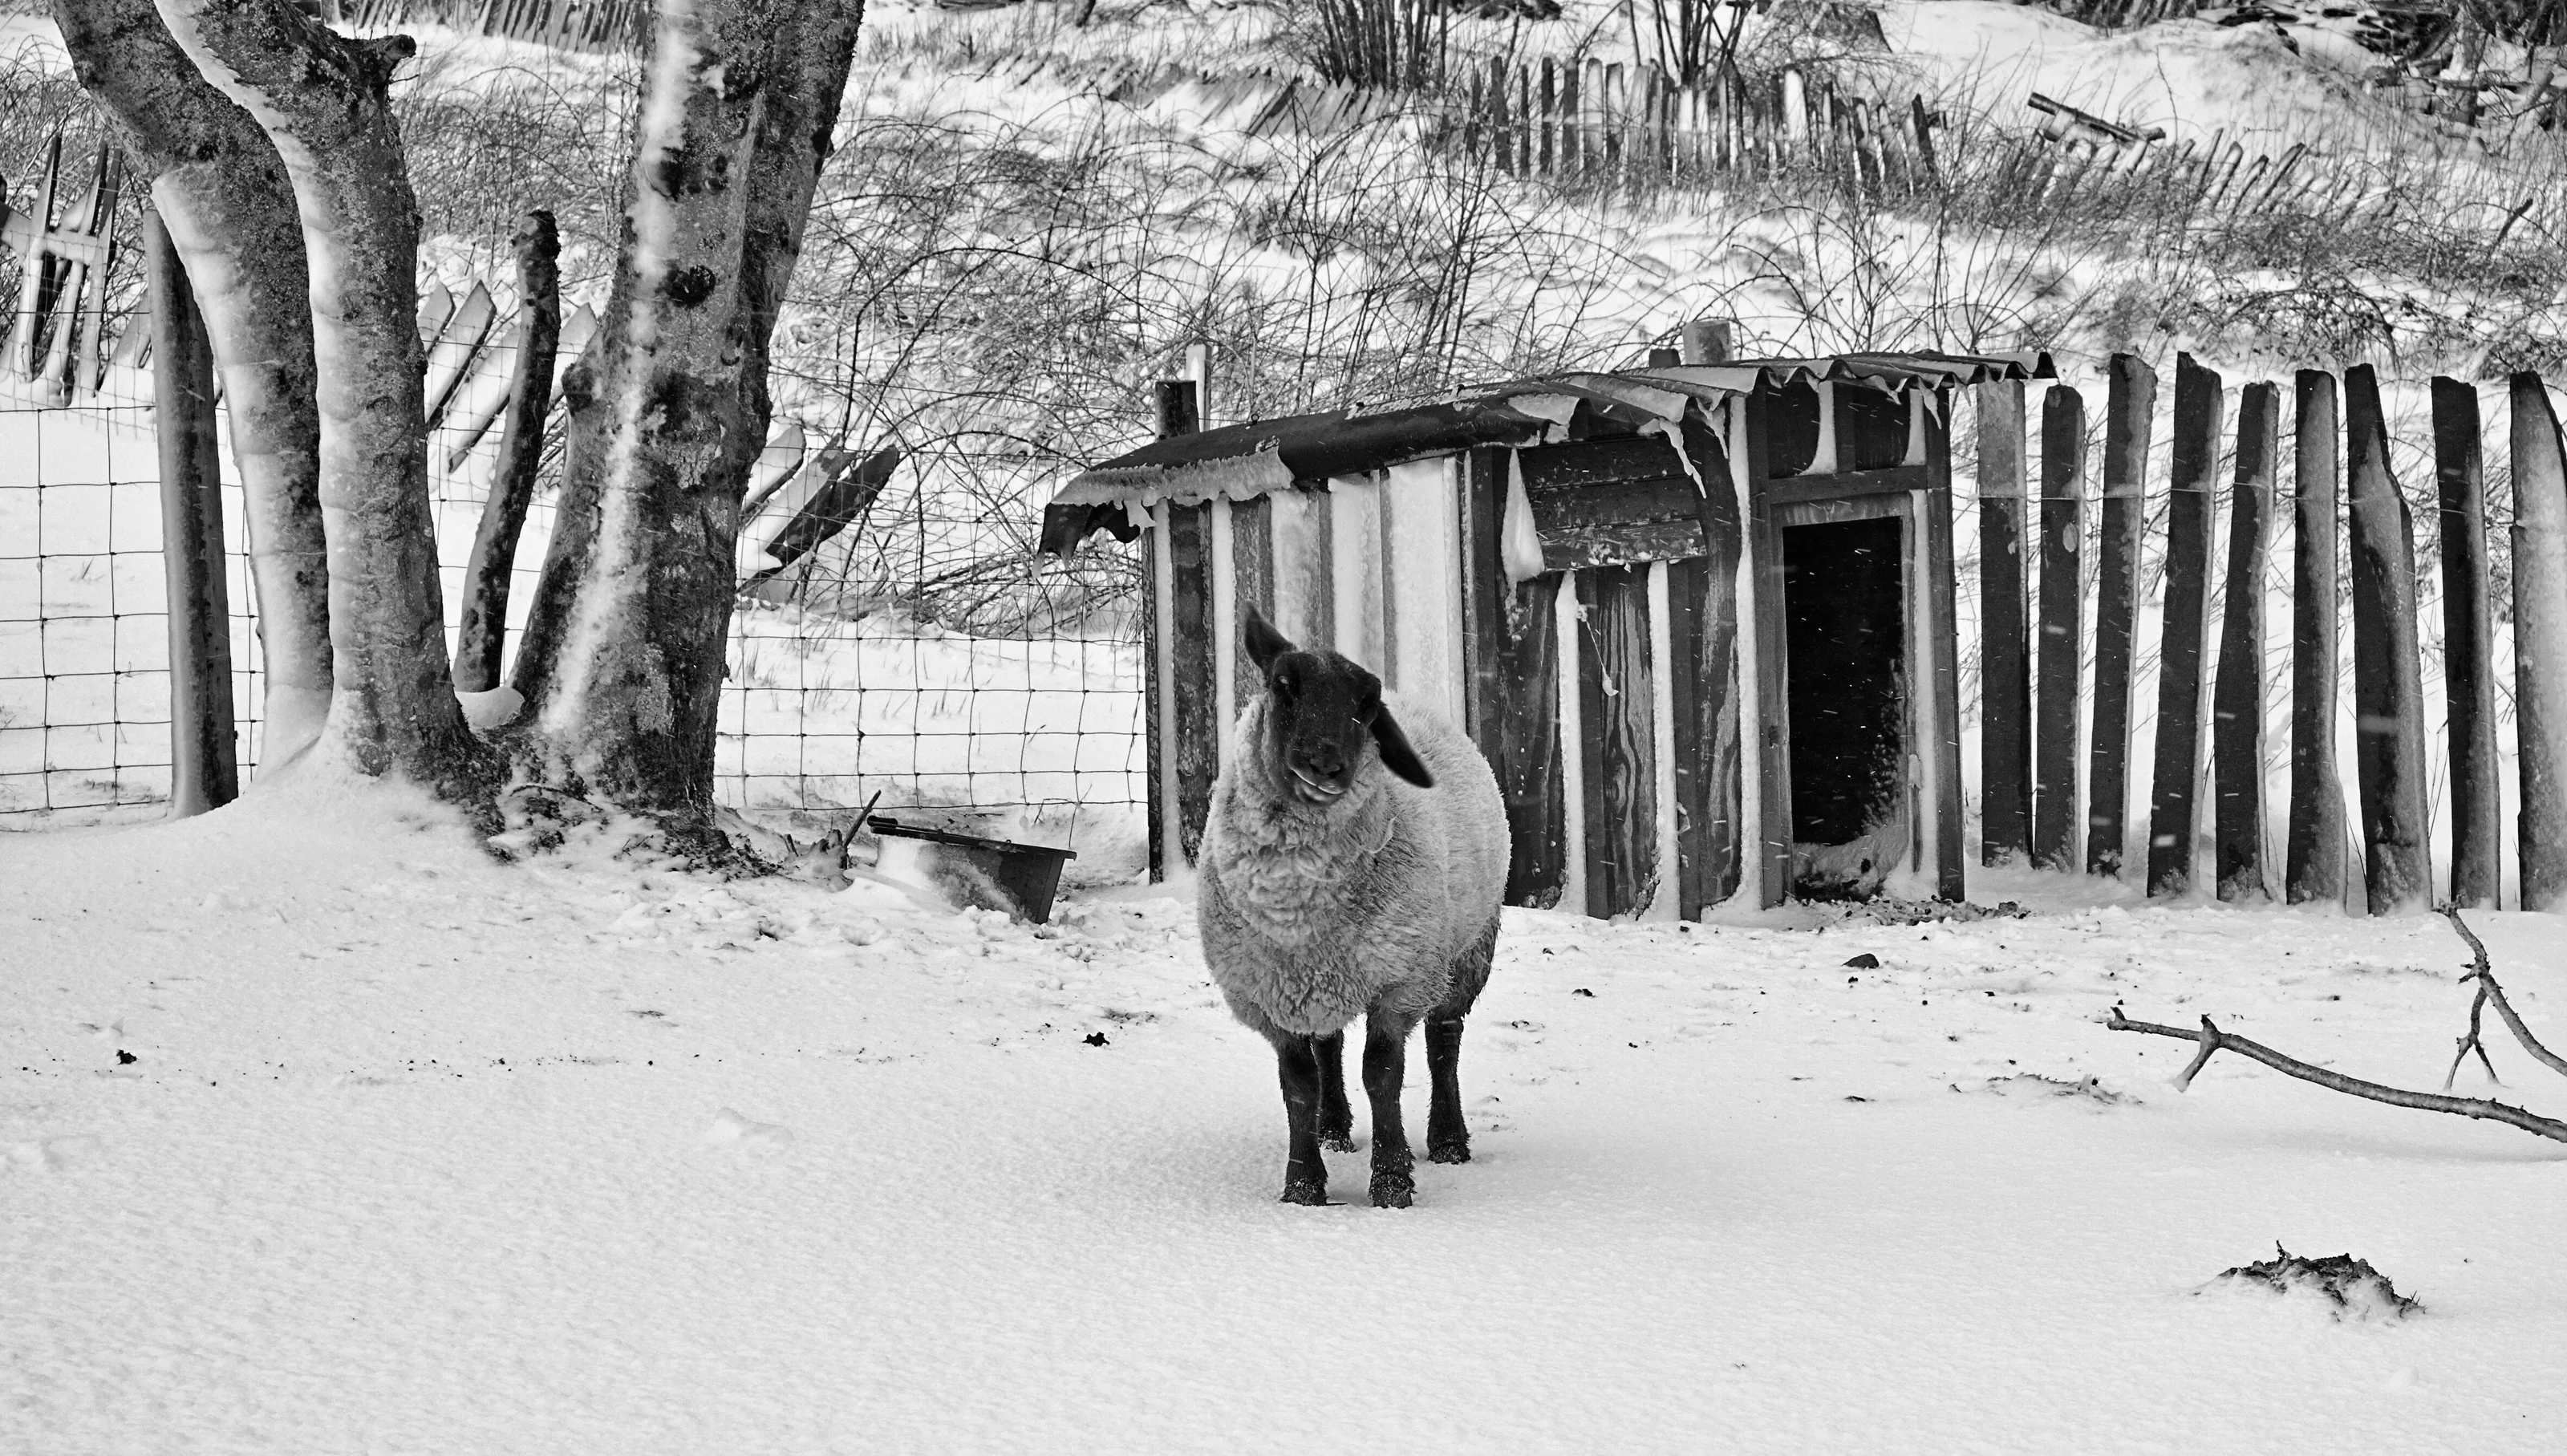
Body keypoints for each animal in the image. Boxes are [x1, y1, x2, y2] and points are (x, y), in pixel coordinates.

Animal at [1196, 605, 1511, 1208]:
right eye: (1283, 685)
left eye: (1366, 707)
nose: (1325, 764)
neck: (1297, 910)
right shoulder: (1270, 996)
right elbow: (1298, 1084)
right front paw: (1302, 1186)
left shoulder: (1400, 980)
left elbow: (1383, 1075)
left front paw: (1391, 1182)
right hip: (1326, 980)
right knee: (1330, 1045)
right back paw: (1333, 1128)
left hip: (1465, 951)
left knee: (1444, 1041)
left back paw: (1448, 1141)